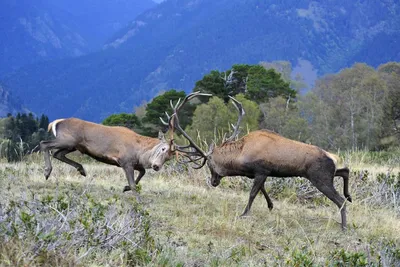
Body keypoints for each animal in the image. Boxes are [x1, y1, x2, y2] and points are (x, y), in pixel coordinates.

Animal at [40, 117, 175, 193]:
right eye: (163, 149)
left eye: (169, 158)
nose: (156, 166)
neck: (139, 152)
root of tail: (54, 123)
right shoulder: (125, 161)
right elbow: (133, 184)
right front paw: (138, 203)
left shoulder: (131, 163)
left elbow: (142, 172)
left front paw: (125, 188)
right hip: (67, 140)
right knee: (44, 144)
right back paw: (47, 172)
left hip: (72, 145)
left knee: (57, 153)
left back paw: (81, 170)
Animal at [170, 92, 352, 230]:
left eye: (209, 164)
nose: (213, 182)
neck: (241, 156)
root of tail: (331, 157)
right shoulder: (260, 173)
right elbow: (262, 189)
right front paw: (270, 205)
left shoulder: (261, 170)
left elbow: (252, 193)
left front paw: (244, 213)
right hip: (326, 173)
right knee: (345, 171)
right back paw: (349, 196)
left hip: (319, 177)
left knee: (340, 200)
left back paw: (344, 225)